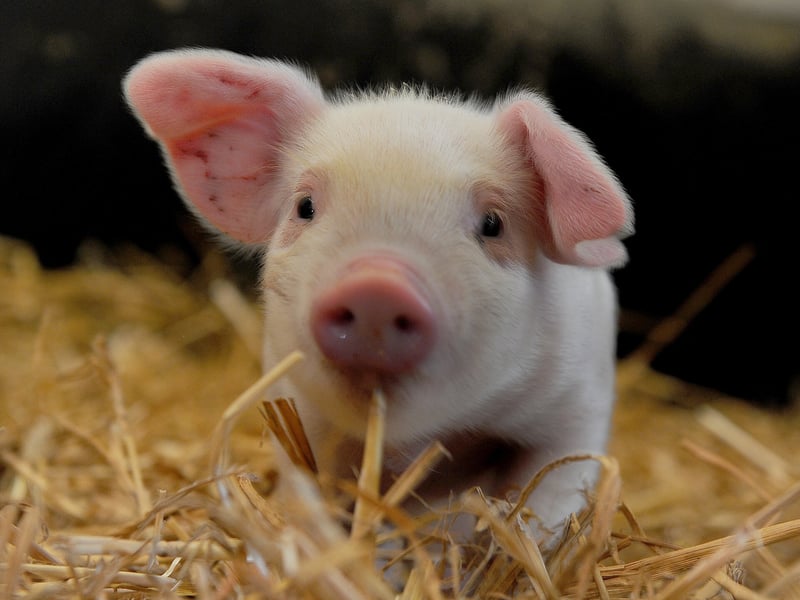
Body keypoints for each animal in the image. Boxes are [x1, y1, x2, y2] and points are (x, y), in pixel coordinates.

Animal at [123, 49, 633, 543]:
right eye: (304, 206)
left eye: (493, 224)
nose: (377, 287)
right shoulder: (295, 404)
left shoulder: (578, 402)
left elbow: (553, 493)